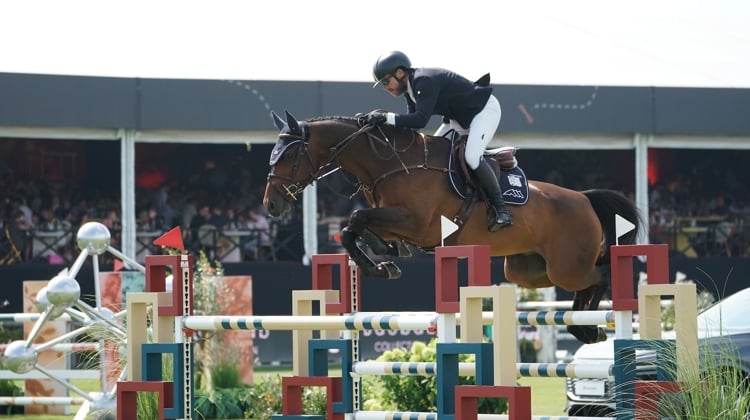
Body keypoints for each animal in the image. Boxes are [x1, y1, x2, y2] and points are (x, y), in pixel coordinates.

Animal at [262, 111, 640, 344]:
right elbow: (355, 229)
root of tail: (584, 197)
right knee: (584, 281)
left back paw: (591, 329)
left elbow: (355, 222)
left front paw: (381, 264)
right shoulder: (396, 222)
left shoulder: (415, 223)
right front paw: (384, 259)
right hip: (528, 271)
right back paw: (586, 329)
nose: (271, 205)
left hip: (565, 267)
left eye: (287, 156)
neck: (391, 164)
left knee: (601, 275)